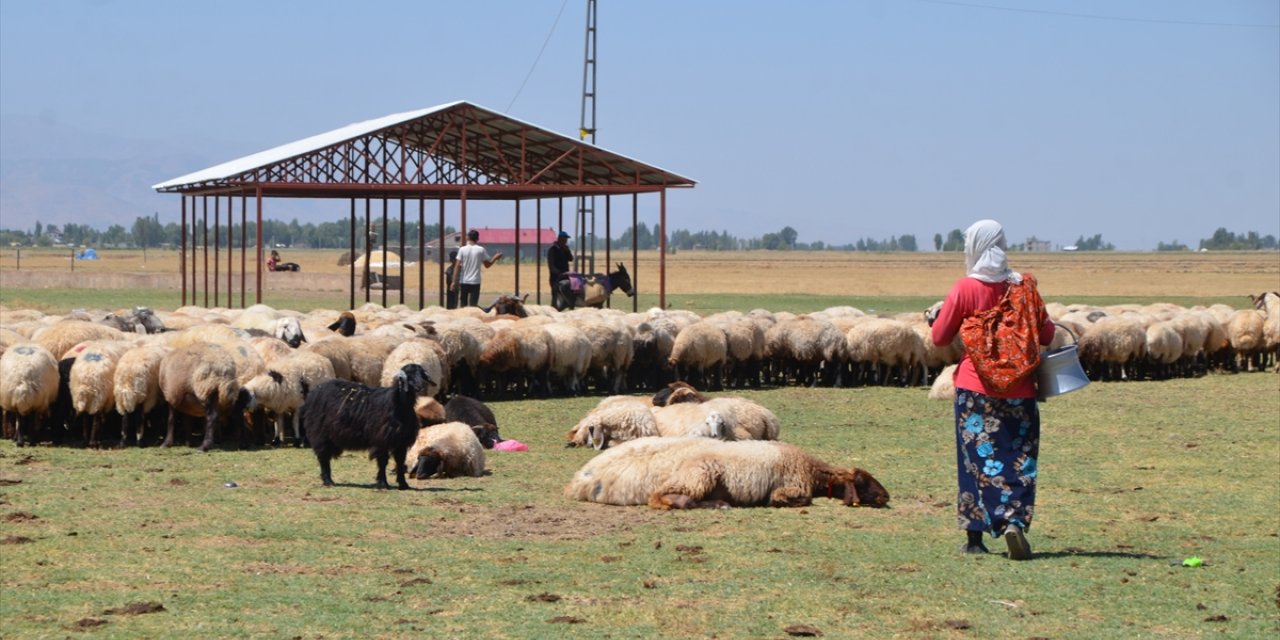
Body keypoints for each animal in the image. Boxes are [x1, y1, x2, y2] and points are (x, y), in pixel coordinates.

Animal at [298, 360, 430, 488]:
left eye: (421, 374)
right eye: (409, 375)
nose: (420, 386)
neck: (399, 404)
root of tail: (314, 393)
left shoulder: (401, 441)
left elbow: (400, 462)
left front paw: (403, 484)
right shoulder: (381, 439)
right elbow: (383, 461)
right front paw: (383, 483)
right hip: (320, 434)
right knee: (323, 457)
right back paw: (328, 481)